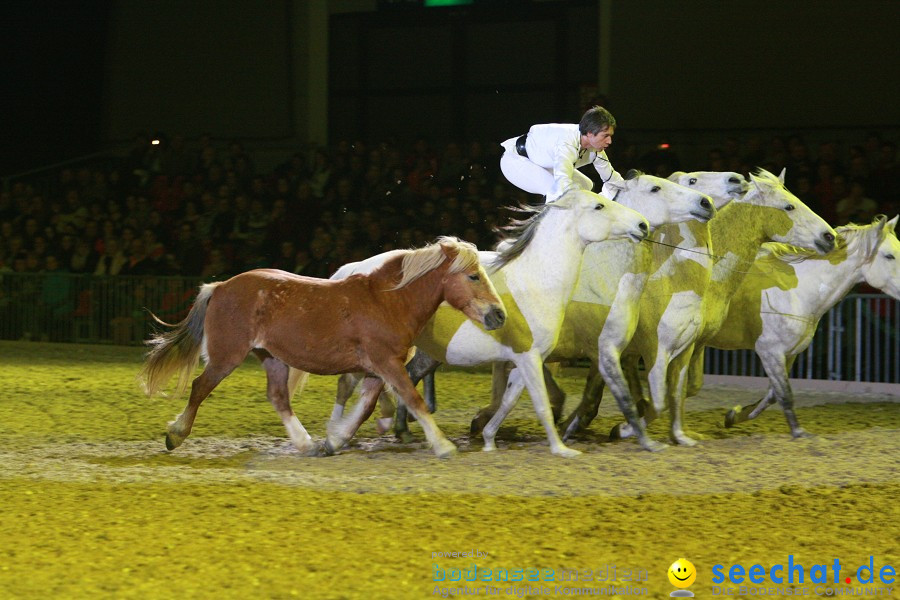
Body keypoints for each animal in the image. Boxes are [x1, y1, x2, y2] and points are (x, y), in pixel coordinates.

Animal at [141, 237, 506, 458]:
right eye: (474, 276)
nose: (498, 315)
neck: (388, 301)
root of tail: (219, 287)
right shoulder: (387, 364)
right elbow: (414, 400)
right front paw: (444, 445)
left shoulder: (376, 371)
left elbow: (366, 408)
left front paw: (334, 440)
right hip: (226, 357)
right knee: (199, 387)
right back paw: (175, 435)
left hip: (272, 358)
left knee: (278, 397)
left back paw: (306, 444)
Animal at [292, 190, 652, 458]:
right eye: (599, 205)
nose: (643, 224)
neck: (537, 281)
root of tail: (352, 270)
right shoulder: (531, 357)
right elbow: (540, 403)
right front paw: (562, 448)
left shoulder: (525, 358)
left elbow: (510, 399)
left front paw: (490, 437)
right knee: (356, 385)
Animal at [712, 216, 900, 436]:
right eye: (889, 256)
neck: (795, 293)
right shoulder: (770, 352)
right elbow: (784, 394)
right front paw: (798, 432)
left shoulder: (789, 354)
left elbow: (773, 395)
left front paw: (734, 416)